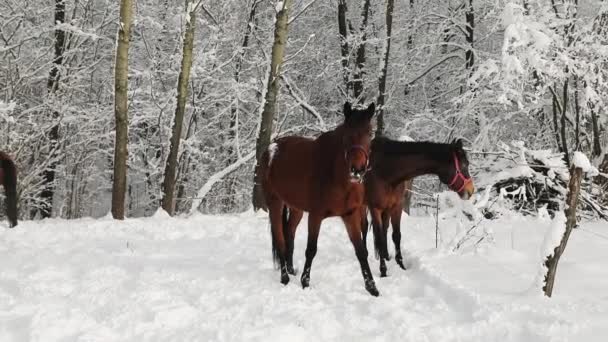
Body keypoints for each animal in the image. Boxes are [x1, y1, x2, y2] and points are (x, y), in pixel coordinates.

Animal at [256, 101, 380, 296]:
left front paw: (372, 287)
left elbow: (361, 251)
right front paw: (305, 282)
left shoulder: (350, 215)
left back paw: (291, 270)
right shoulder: (316, 216)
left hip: (296, 208)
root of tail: (271, 148)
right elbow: (311, 249)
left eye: (369, 133)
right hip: (275, 203)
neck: (337, 176)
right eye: (347, 134)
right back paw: (284, 277)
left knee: (289, 233)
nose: (357, 170)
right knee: (280, 238)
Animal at [360, 136, 476, 276]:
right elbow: (378, 238)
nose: (471, 190)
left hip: (387, 210)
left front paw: (401, 265)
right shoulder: (375, 208)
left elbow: (396, 236)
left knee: (384, 229)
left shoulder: (397, 207)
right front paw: (383, 271)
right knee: (365, 227)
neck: (386, 170)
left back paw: (387, 256)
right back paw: (366, 255)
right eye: (464, 164)